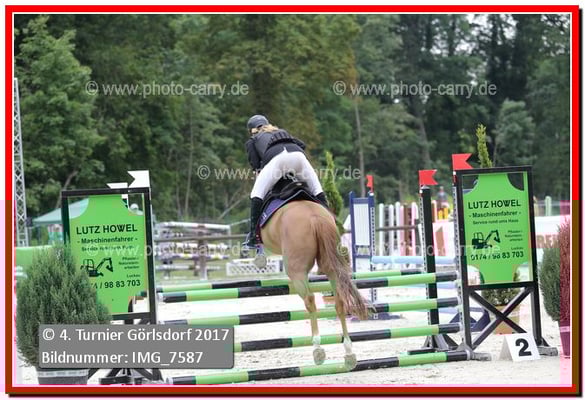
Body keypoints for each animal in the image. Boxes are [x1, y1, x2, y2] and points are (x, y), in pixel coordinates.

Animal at [259, 196, 369, 368]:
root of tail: (314, 218)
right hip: (331, 266)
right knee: (339, 302)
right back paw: (349, 353)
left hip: (296, 270)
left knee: (310, 300)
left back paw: (317, 349)